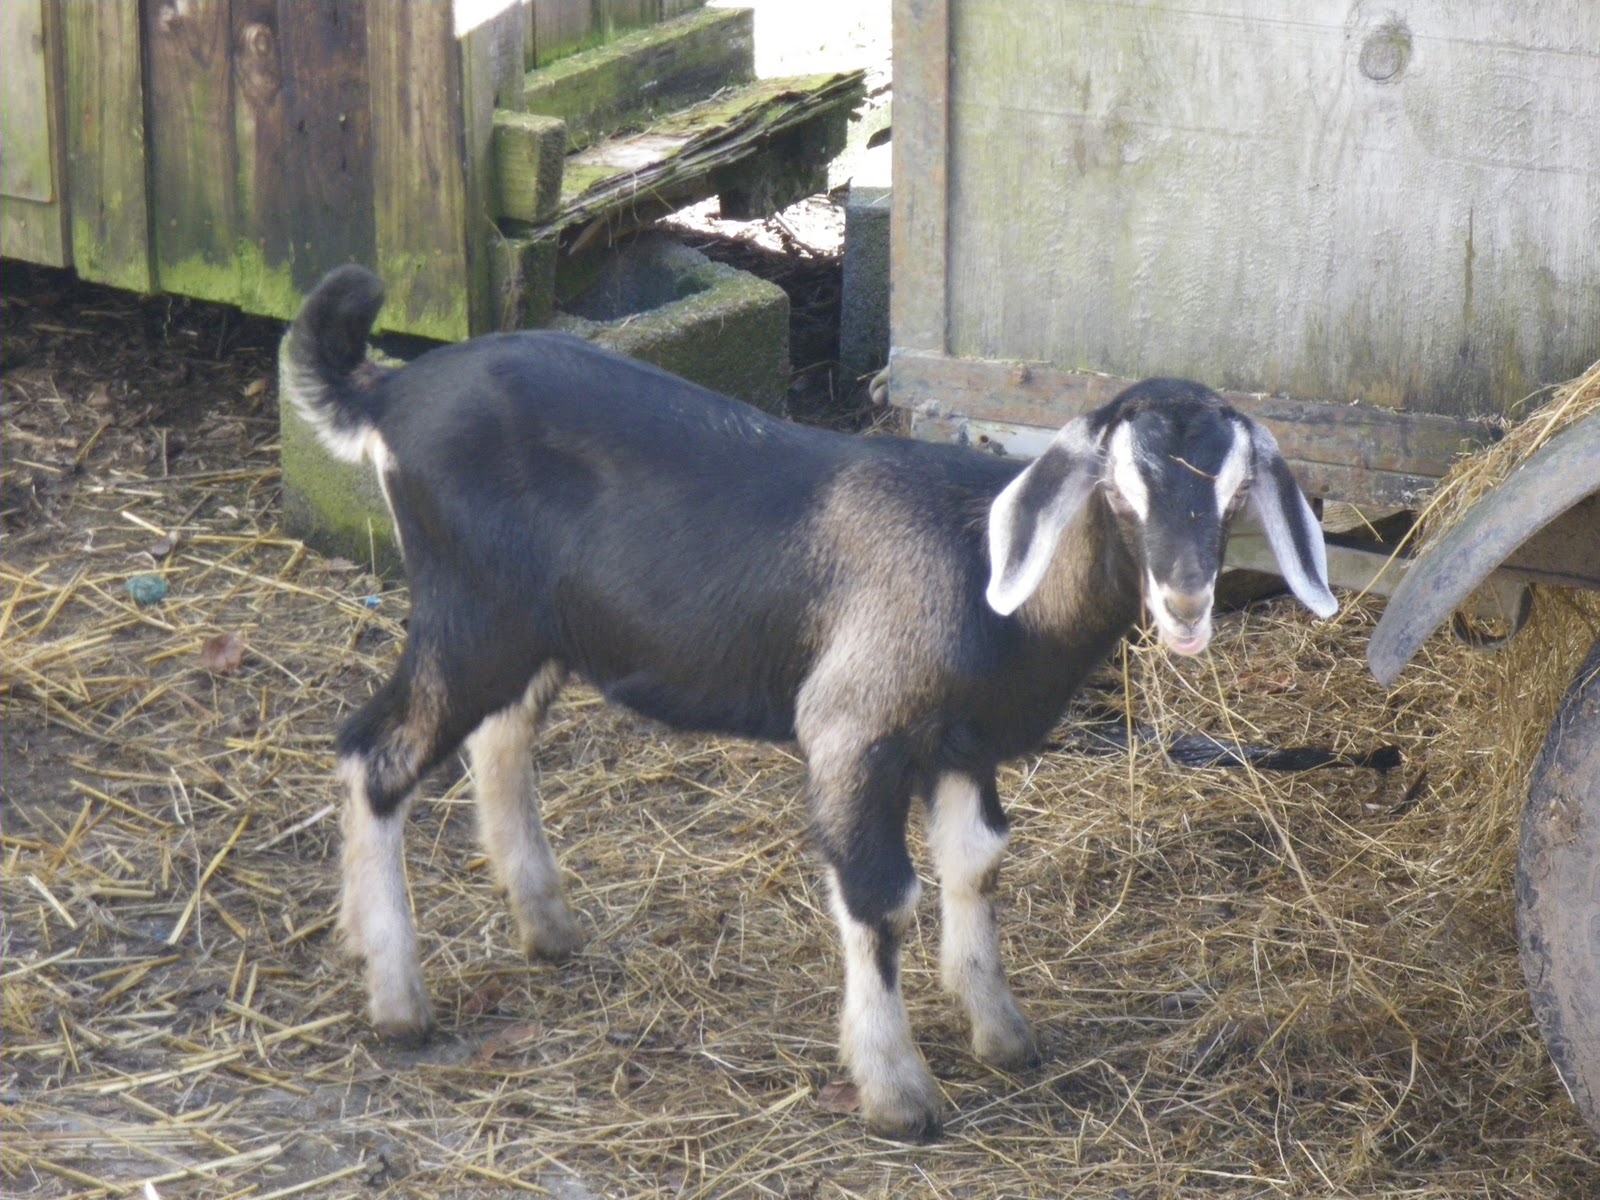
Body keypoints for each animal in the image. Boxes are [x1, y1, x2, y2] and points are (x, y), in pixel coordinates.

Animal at [282, 264, 1338, 1140]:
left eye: (1235, 493)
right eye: (1120, 492)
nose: (1188, 605)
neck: (982, 577)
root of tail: (388, 393)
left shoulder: (962, 744)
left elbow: (977, 863)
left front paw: (1000, 1032)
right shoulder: (853, 729)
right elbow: (880, 896)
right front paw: (899, 1092)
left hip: (532, 630)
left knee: (498, 742)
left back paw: (545, 928)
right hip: (470, 614)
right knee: (375, 753)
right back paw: (398, 1001)